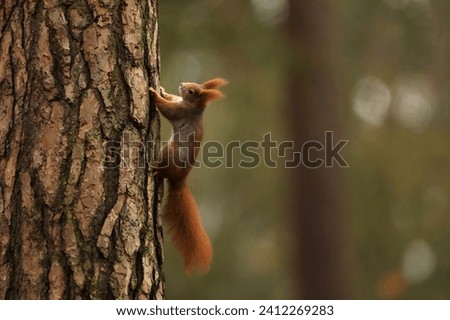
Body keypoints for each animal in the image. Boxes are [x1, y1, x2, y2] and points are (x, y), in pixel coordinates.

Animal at [149, 77, 229, 272]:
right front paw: (163, 90)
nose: (182, 84)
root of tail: (179, 180)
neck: (192, 106)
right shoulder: (179, 102)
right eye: (191, 85)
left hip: (170, 152)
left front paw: (154, 94)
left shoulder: (180, 111)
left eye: (192, 91)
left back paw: (156, 169)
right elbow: (172, 98)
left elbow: (165, 108)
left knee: (163, 171)